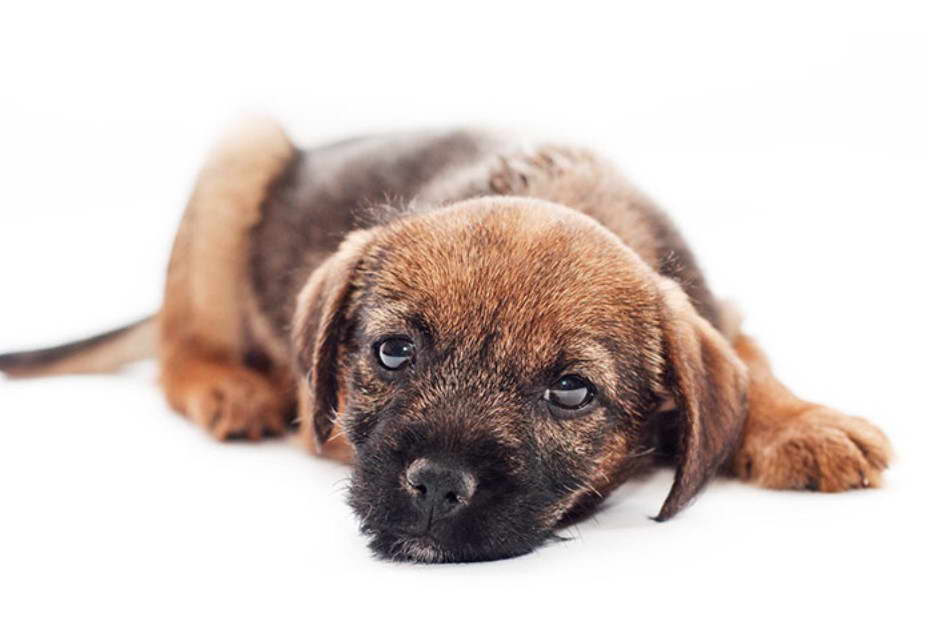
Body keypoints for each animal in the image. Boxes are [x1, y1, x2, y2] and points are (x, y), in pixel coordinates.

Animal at [3, 119, 896, 564]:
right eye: (394, 352)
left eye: (571, 389)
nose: (435, 485)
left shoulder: (721, 311)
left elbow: (751, 367)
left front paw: (805, 423)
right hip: (239, 156)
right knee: (180, 345)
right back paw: (231, 385)